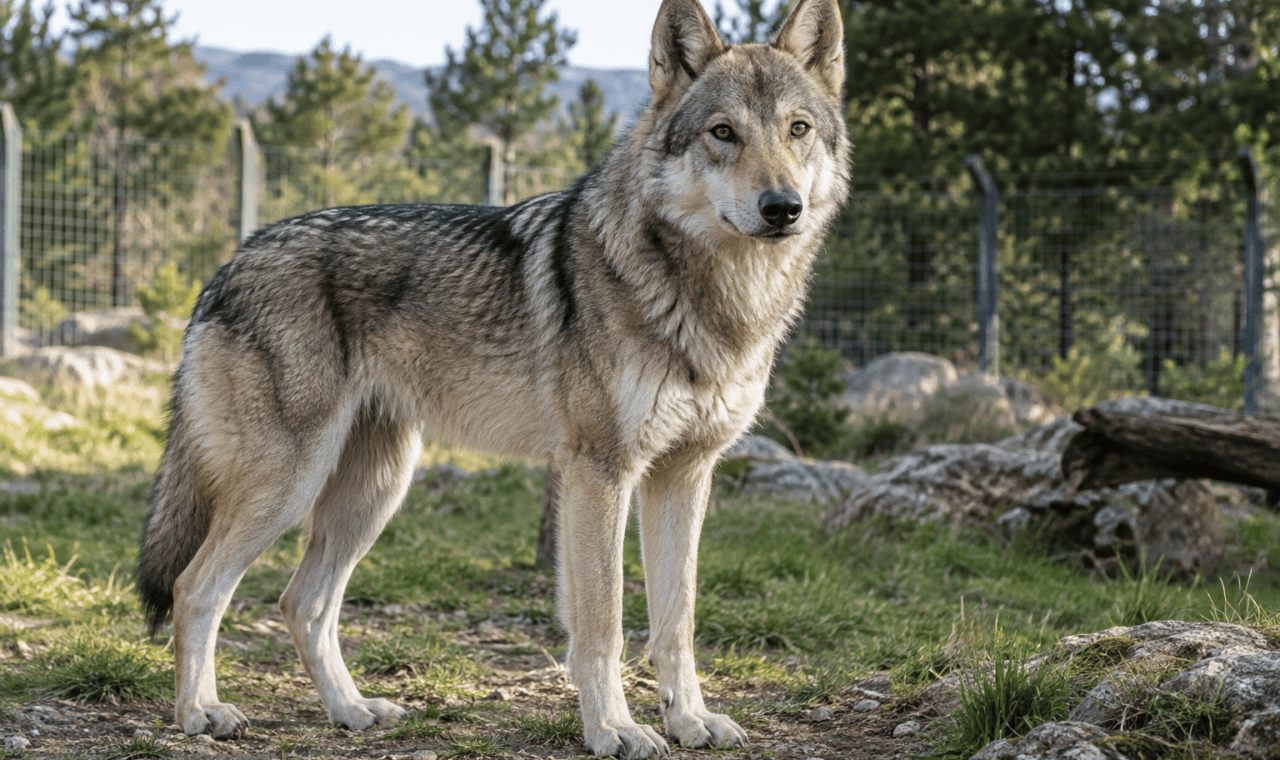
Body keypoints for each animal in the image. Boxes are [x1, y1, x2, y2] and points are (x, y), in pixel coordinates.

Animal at [136, 0, 849, 756]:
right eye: (723, 133)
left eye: (798, 130)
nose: (783, 207)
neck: (713, 299)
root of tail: (229, 265)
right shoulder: (600, 472)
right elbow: (603, 622)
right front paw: (614, 728)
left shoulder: (684, 475)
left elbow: (676, 622)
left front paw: (689, 720)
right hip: (288, 484)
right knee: (195, 587)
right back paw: (199, 713)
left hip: (374, 491)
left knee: (302, 603)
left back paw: (351, 710)